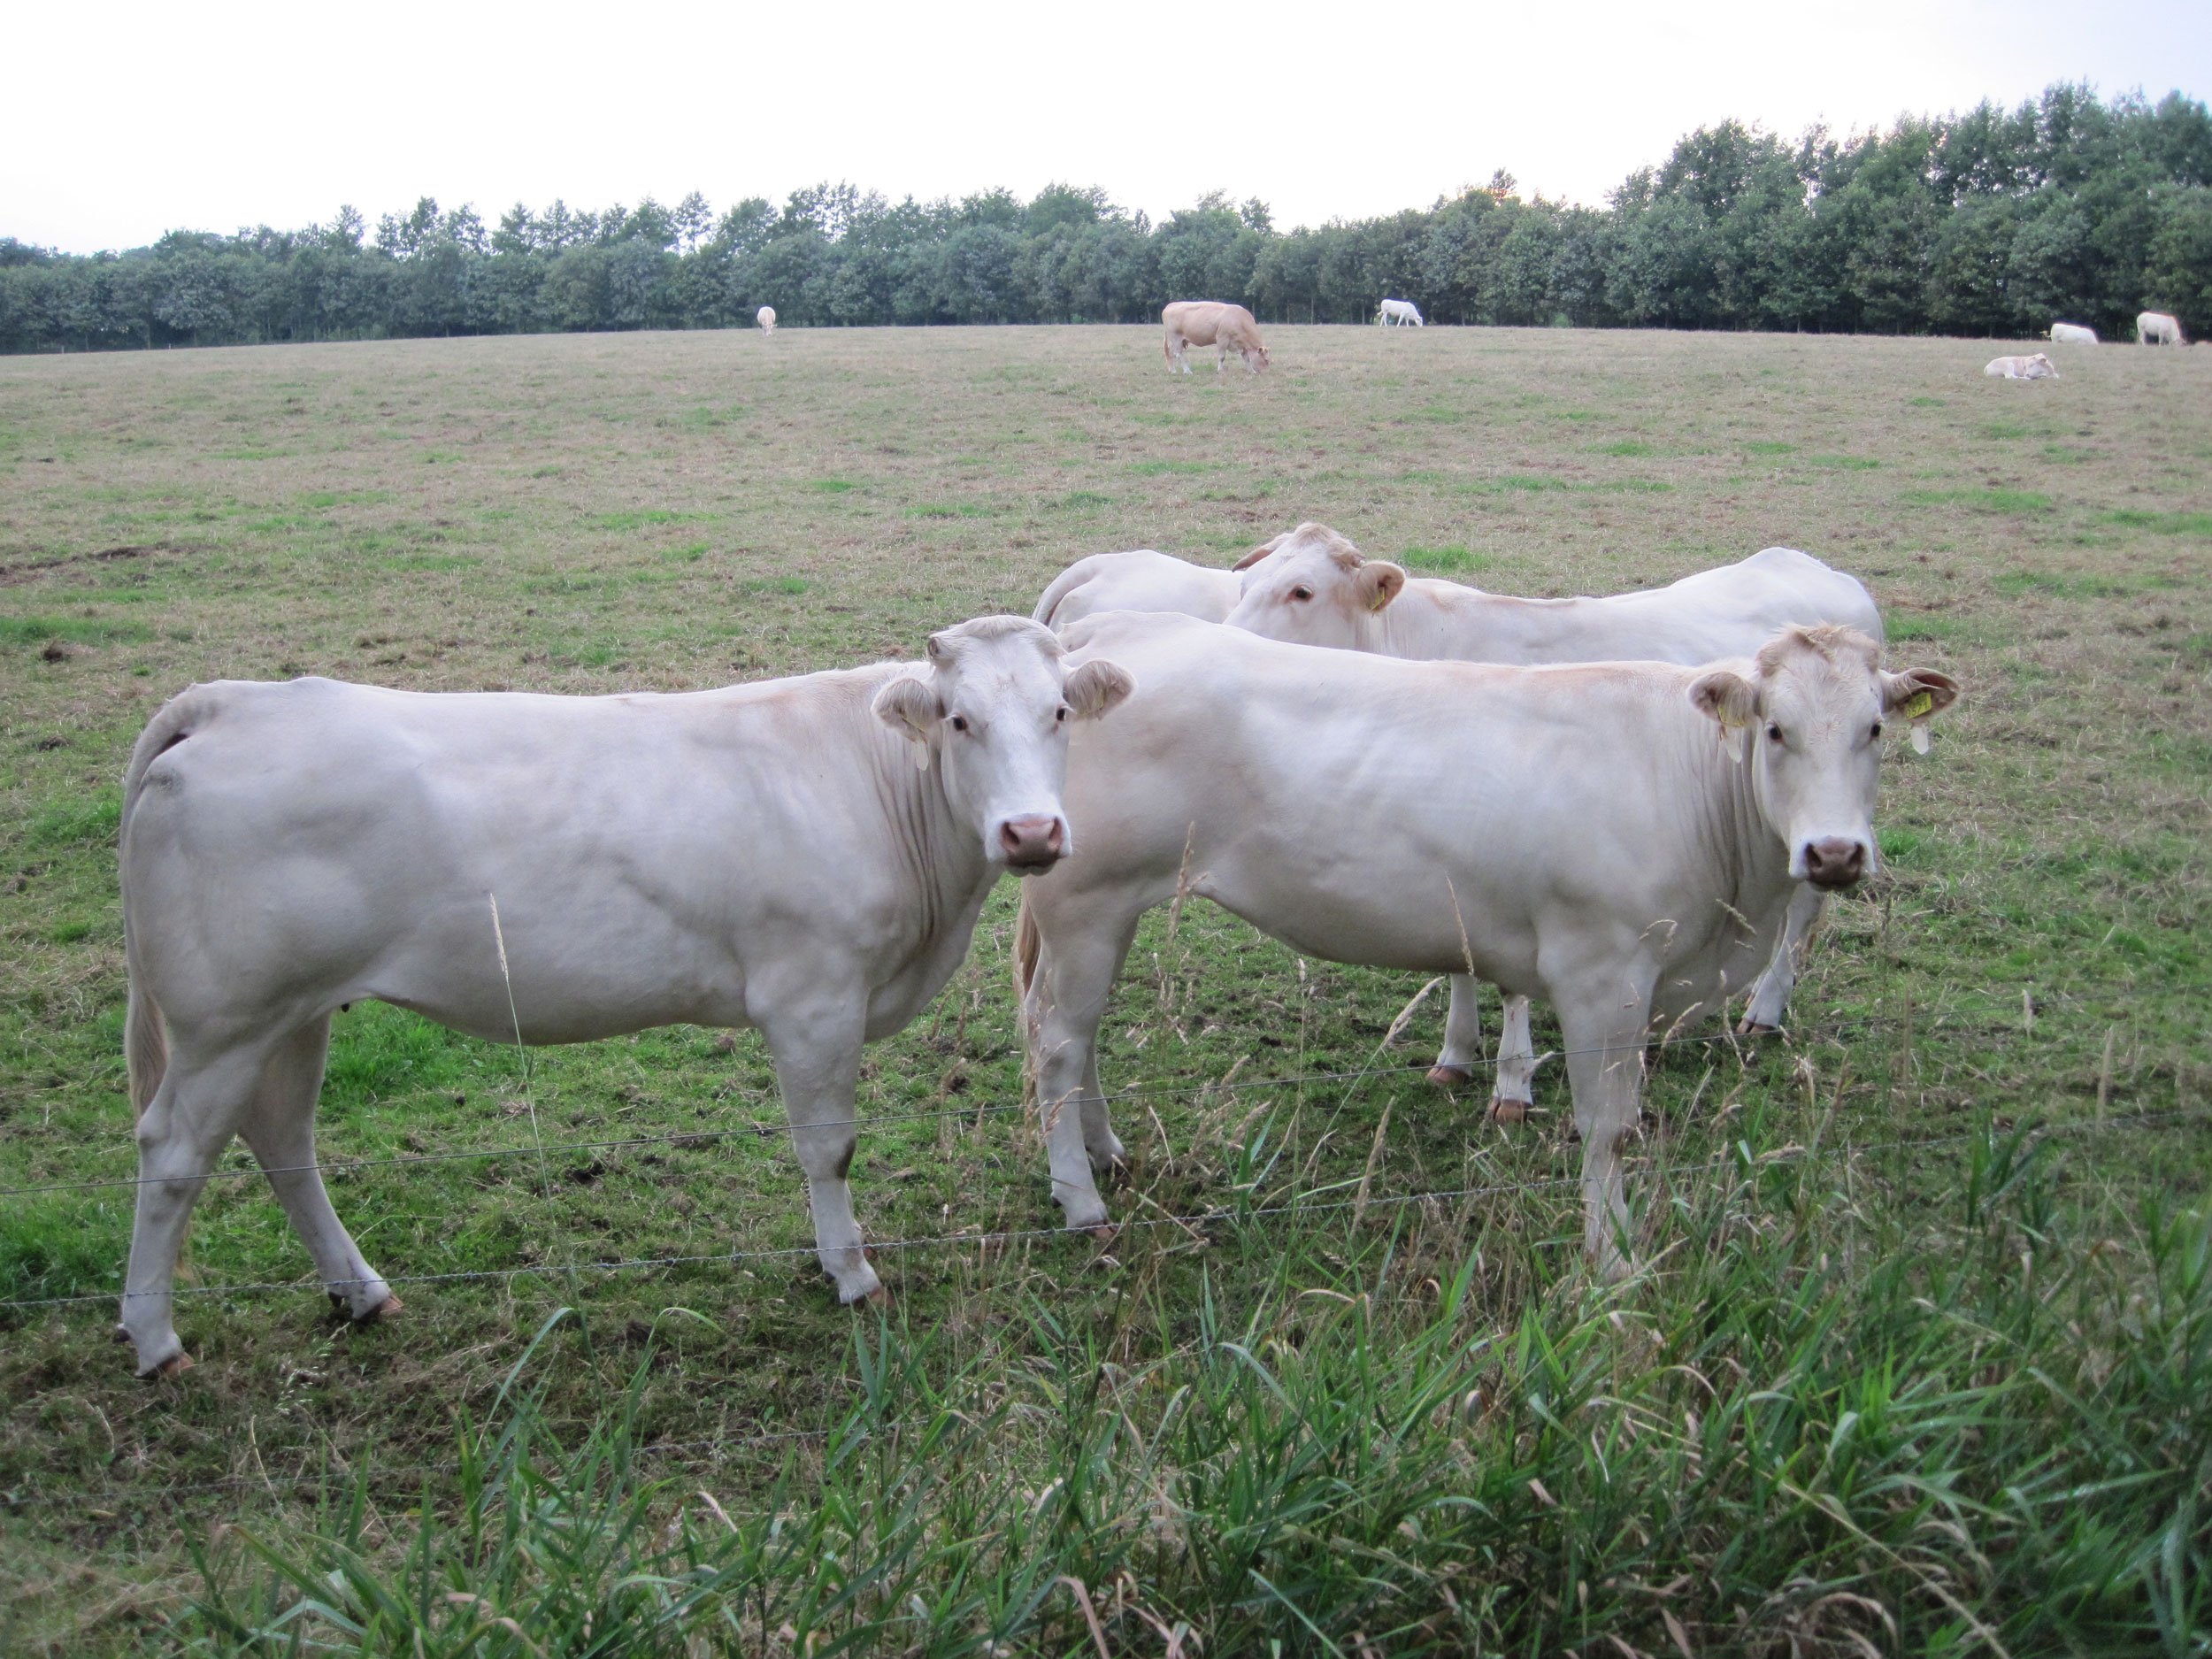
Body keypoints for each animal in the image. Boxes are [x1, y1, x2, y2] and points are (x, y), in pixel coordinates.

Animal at [111, 615, 1133, 1380]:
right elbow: (829, 1150)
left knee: (283, 1141)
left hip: (293, 1011)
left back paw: (360, 1292)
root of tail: (234, 700)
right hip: (223, 1021)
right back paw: (156, 1340)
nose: (1033, 832)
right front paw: (851, 1274)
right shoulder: (811, 998)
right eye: (959, 720)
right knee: (174, 1155)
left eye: (1057, 712)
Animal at [1018, 619, 1955, 1283]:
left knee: (1079, 1035)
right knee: (1057, 1046)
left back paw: (1107, 1151)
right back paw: (1081, 1199)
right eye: (1776, 730)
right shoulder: (1603, 972)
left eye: (1874, 728)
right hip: (1086, 903)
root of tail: (1107, 638)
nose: (1833, 854)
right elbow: (1610, 1129)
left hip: (1106, 913)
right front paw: (1612, 1260)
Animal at [1230, 526, 1885, 1110]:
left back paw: (1765, 1009)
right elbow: (1460, 960)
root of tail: (1815, 567)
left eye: (1302, 591)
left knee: (1804, 907)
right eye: (1245, 583)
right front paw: (1455, 1055)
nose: (1226, 640)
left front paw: (1512, 1084)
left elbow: (1510, 987)